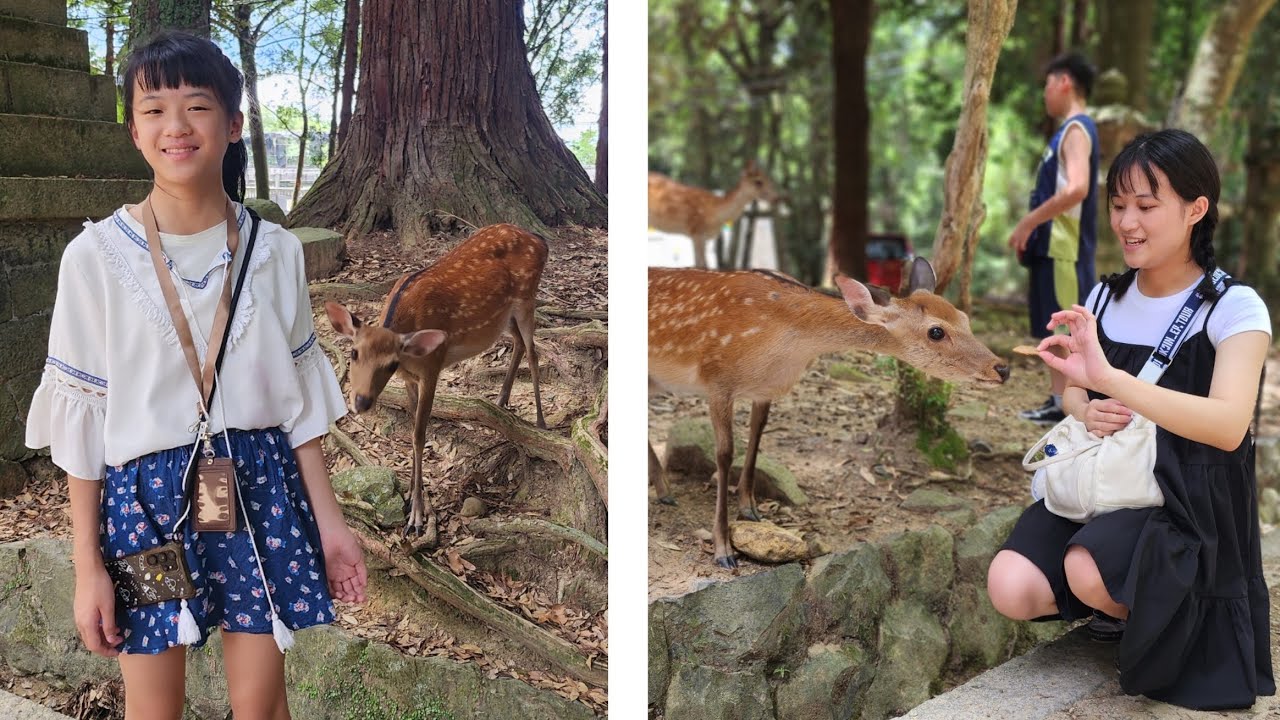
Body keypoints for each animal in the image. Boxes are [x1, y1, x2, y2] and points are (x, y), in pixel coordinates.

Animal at [325, 223, 548, 546]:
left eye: (390, 364)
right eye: (353, 353)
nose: (361, 401)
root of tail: (540, 240)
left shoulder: (432, 367)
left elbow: (419, 435)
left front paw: (417, 517)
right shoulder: (409, 379)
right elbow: (411, 431)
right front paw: (409, 496)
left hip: (526, 297)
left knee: (533, 351)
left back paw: (541, 422)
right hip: (502, 316)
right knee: (518, 342)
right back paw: (501, 399)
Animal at [648, 160, 779, 269]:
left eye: (771, 181)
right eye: (758, 182)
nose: (776, 199)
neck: (715, 214)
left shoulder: (703, 236)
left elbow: (702, 265)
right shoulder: (696, 231)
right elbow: (702, 265)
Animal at [648, 258, 1009, 568]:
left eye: (964, 318)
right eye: (936, 331)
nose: (1002, 368)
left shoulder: (766, 389)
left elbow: (757, 437)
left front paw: (749, 508)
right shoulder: (717, 381)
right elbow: (724, 454)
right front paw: (723, 549)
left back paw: (665, 491)